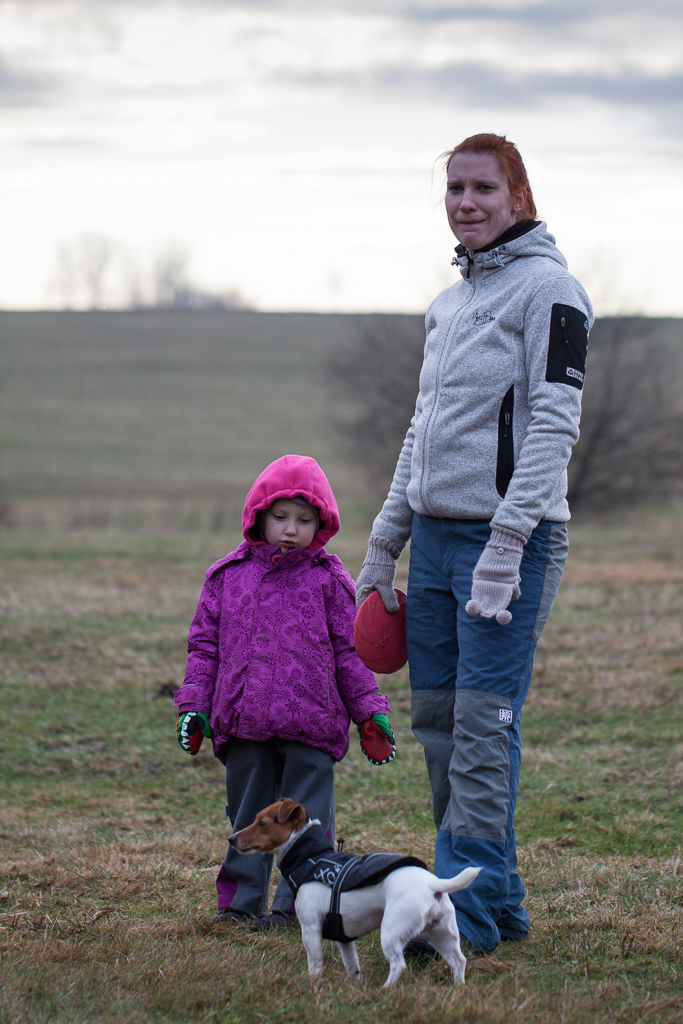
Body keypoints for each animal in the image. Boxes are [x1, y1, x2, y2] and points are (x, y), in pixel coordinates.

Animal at [229, 794, 481, 987]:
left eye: (262, 823)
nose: (231, 838)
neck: (309, 856)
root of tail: (432, 884)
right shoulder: (344, 937)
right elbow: (352, 966)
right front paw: (354, 987)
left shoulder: (311, 928)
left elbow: (315, 964)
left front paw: (313, 986)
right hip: (443, 934)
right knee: (458, 960)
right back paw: (458, 989)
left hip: (392, 932)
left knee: (398, 964)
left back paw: (386, 990)